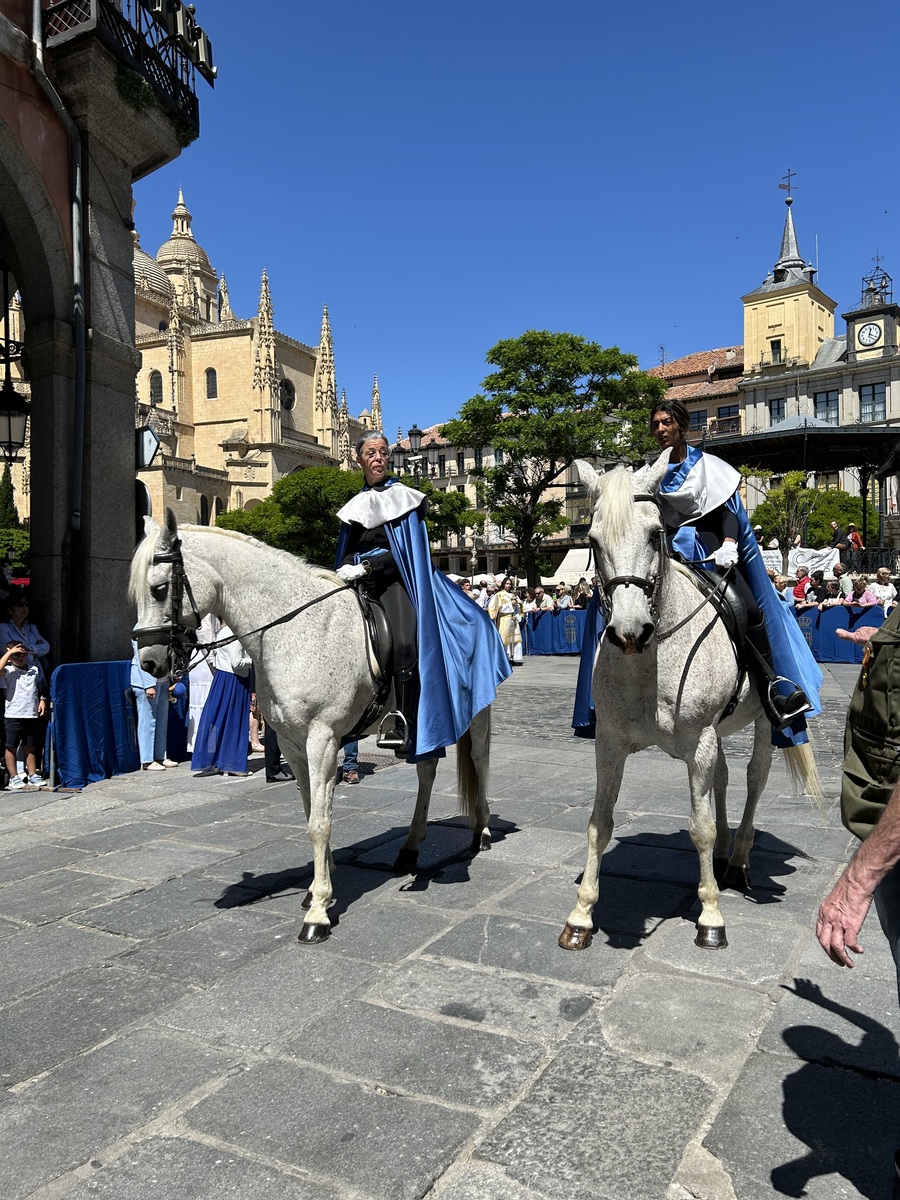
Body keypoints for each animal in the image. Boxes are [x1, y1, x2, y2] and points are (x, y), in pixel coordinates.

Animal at [128, 511, 494, 940]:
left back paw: (482, 831)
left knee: (480, 762)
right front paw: (319, 886)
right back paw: (410, 848)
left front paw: (318, 910)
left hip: (478, 712)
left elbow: (319, 822)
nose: (150, 663)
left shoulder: (323, 738)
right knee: (427, 769)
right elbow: (309, 811)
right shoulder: (291, 741)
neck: (293, 629)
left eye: (158, 588)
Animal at [564, 453, 825, 950]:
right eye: (592, 540)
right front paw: (582, 915)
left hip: (764, 722)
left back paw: (737, 861)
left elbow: (699, 828)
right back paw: (724, 856)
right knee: (722, 778)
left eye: (654, 534)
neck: (650, 661)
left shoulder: (699, 741)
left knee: (754, 778)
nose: (630, 632)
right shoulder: (608, 743)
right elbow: (599, 822)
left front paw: (710, 918)